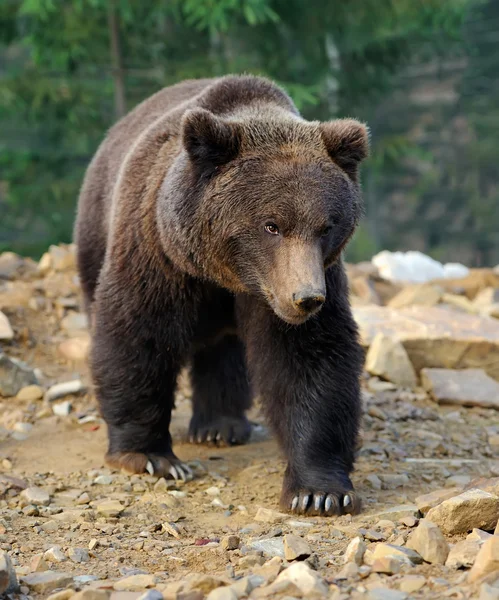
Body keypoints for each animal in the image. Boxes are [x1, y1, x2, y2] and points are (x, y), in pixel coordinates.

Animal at [75, 74, 372, 516]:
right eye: (272, 225)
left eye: (327, 226)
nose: (305, 298)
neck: (228, 274)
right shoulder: (157, 253)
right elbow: (137, 335)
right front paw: (150, 456)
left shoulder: (306, 280)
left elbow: (309, 359)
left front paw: (319, 491)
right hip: (97, 229)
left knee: (225, 351)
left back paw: (220, 426)